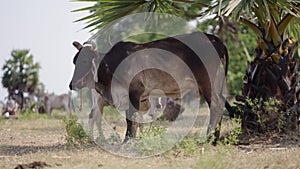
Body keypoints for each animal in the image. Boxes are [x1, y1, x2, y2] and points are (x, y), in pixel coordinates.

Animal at [70, 31, 230, 144]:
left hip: (207, 82)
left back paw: (210, 139)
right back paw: (214, 138)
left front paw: (128, 141)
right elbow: (136, 119)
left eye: (84, 61)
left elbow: (131, 119)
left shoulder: (134, 93)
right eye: (74, 61)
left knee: (216, 104)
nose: (72, 84)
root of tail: (213, 38)